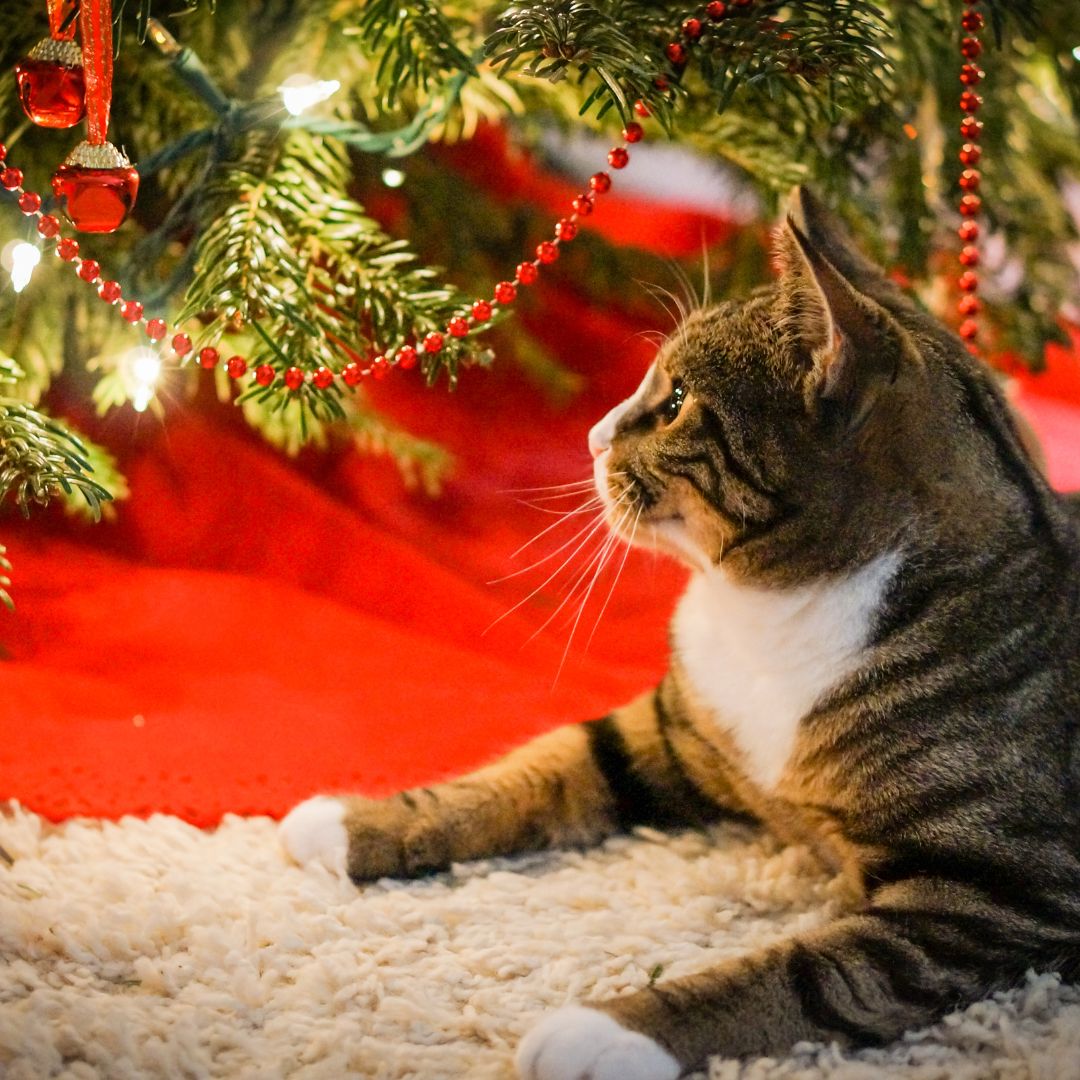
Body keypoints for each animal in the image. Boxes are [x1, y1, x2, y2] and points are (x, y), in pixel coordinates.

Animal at [276, 190, 1080, 1075]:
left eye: (673, 403)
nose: (592, 435)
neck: (768, 617)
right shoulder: (668, 731)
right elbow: (538, 766)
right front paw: (352, 822)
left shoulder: (986, 896)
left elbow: (803, 977)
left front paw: (609, 1029)